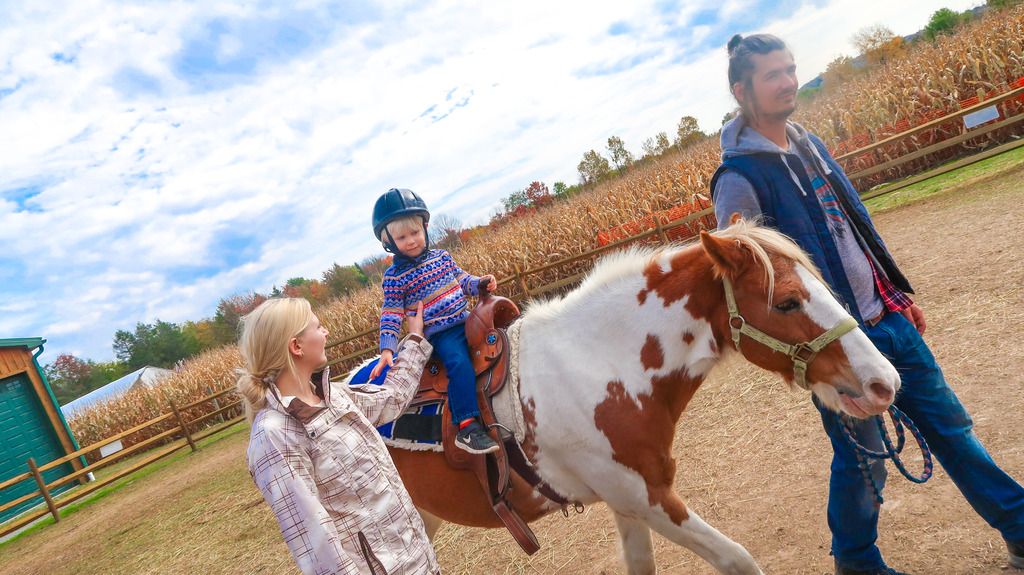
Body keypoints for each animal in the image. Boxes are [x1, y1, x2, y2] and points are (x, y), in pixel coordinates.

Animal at [382, 217, 897, 572]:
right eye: (787, 302)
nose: (884, 383)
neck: (599, 362)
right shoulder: (647, 498)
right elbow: (737, 559)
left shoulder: (627, 504)